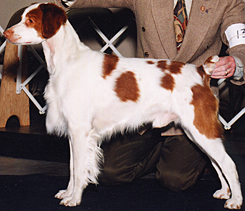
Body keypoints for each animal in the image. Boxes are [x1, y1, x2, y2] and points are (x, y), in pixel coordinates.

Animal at [3, 2, 243, 209]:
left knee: (228, 163)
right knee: (216, 163)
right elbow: (72, 167)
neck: (67, 61)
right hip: (195, 132)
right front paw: (67, 193)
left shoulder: (80, 130)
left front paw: (74, 199)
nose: (6, 34)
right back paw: (224, 192)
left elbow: (79, 169)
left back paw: (235, 201)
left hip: (200, 128)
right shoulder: (73, 131)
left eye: (30, 20)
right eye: (23, 18)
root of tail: (202, 72)